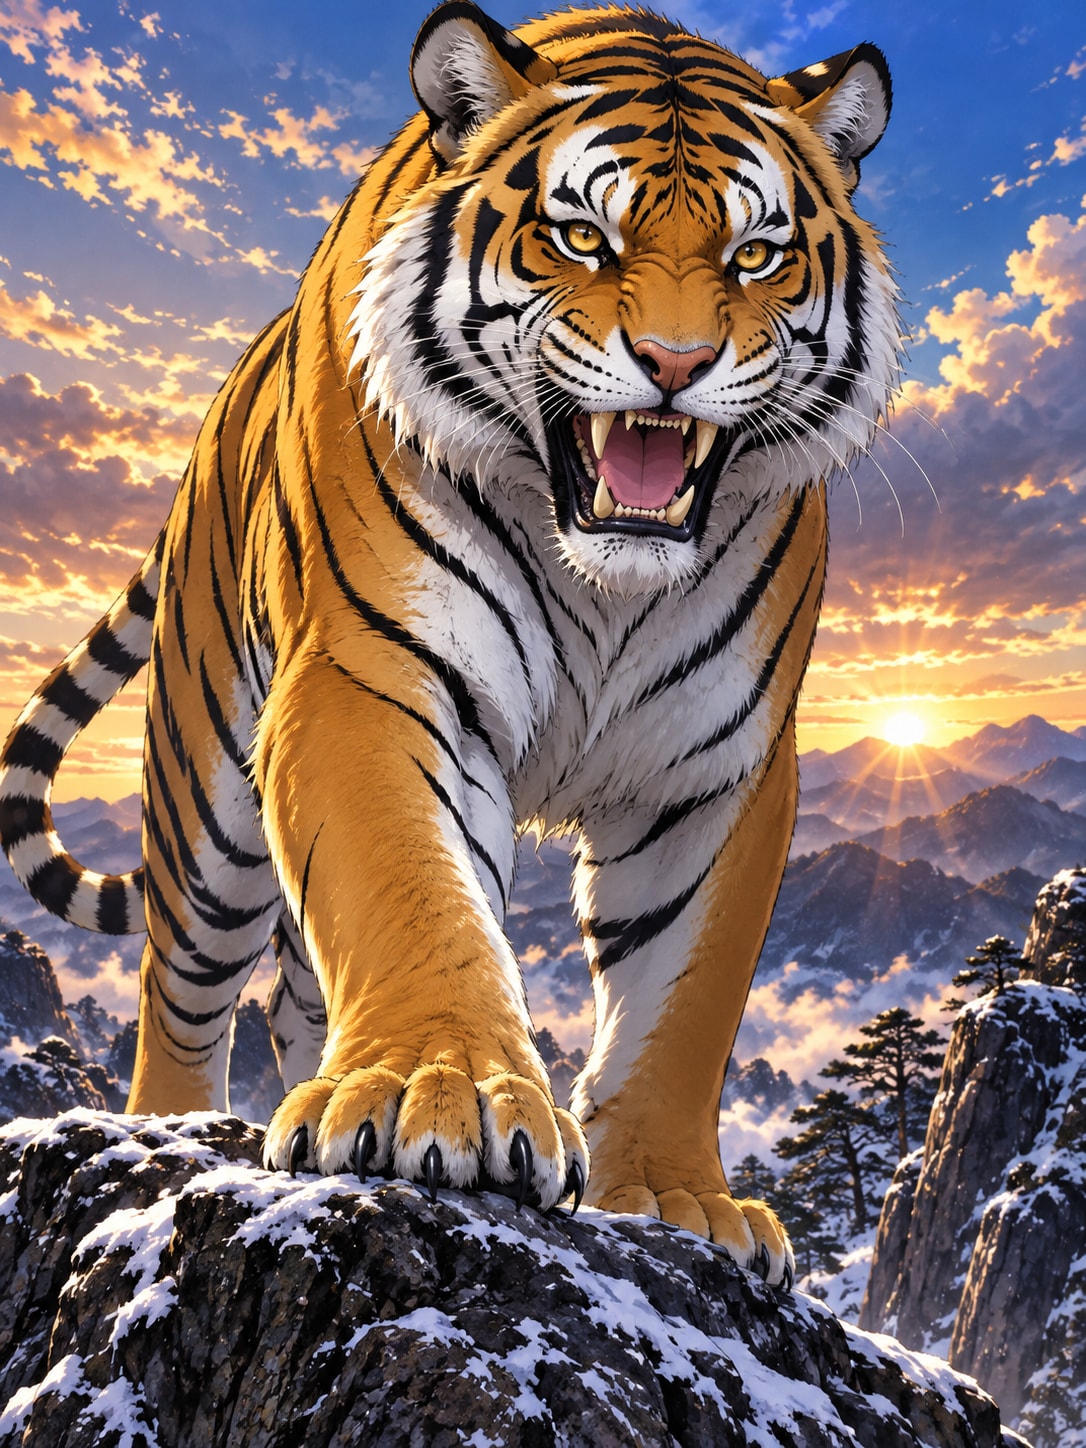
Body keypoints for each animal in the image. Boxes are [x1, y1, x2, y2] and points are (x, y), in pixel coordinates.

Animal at [0, 1, 899, 1289]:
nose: (678, 365)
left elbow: (689, 991)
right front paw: (443, 1096)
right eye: (581, 236)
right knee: (184, 987)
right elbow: (409, 888)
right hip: (203, 796)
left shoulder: (720, 765)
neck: (605, 579)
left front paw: (675, 1198)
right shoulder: (373, 672)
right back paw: (170, 1130)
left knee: (296, 987)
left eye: (756, 255)